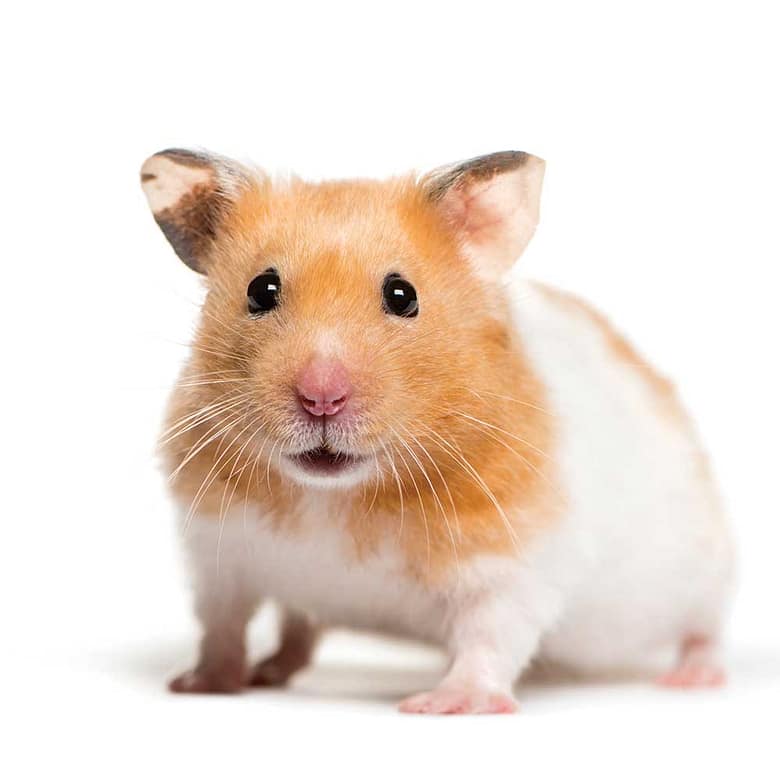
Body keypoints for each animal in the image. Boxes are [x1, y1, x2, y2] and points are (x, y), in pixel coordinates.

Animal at [140, 148, 733, 714]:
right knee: (298, 629)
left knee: (706, 626)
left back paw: (694, 677)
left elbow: (490, 635)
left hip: (703, 570)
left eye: (402, 296)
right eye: (261, 290)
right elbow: (221, 626)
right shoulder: (216, 554)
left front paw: (444, 705)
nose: (321, 397)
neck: (333, 498)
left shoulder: (512, 561)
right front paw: (198, 686)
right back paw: (269, 670)